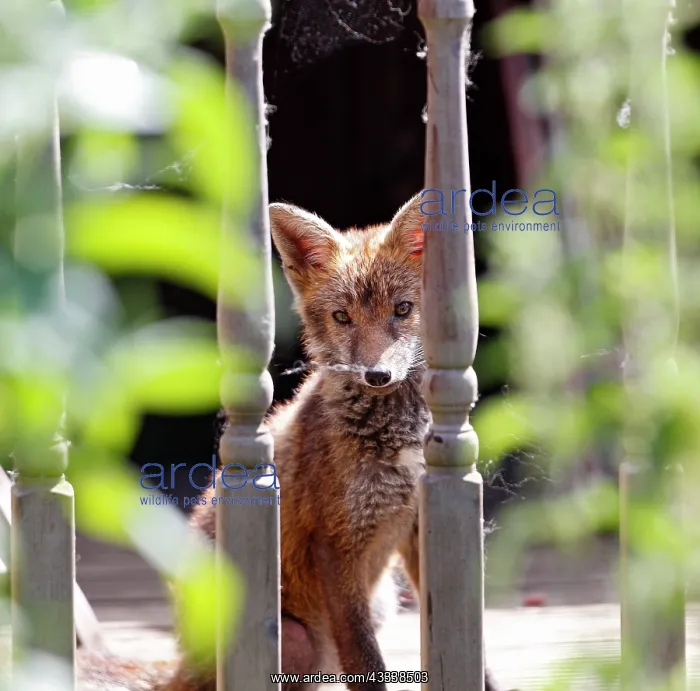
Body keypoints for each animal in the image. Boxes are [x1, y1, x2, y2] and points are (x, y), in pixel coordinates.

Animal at [78, 194, 503, 691]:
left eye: (402, 309)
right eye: (342, 317)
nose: (377, 376)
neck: (394, 441)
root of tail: (183, 666)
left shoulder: (415, 529)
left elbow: (472, 647)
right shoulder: (336, 543)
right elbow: (366, 661)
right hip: (293, 640)